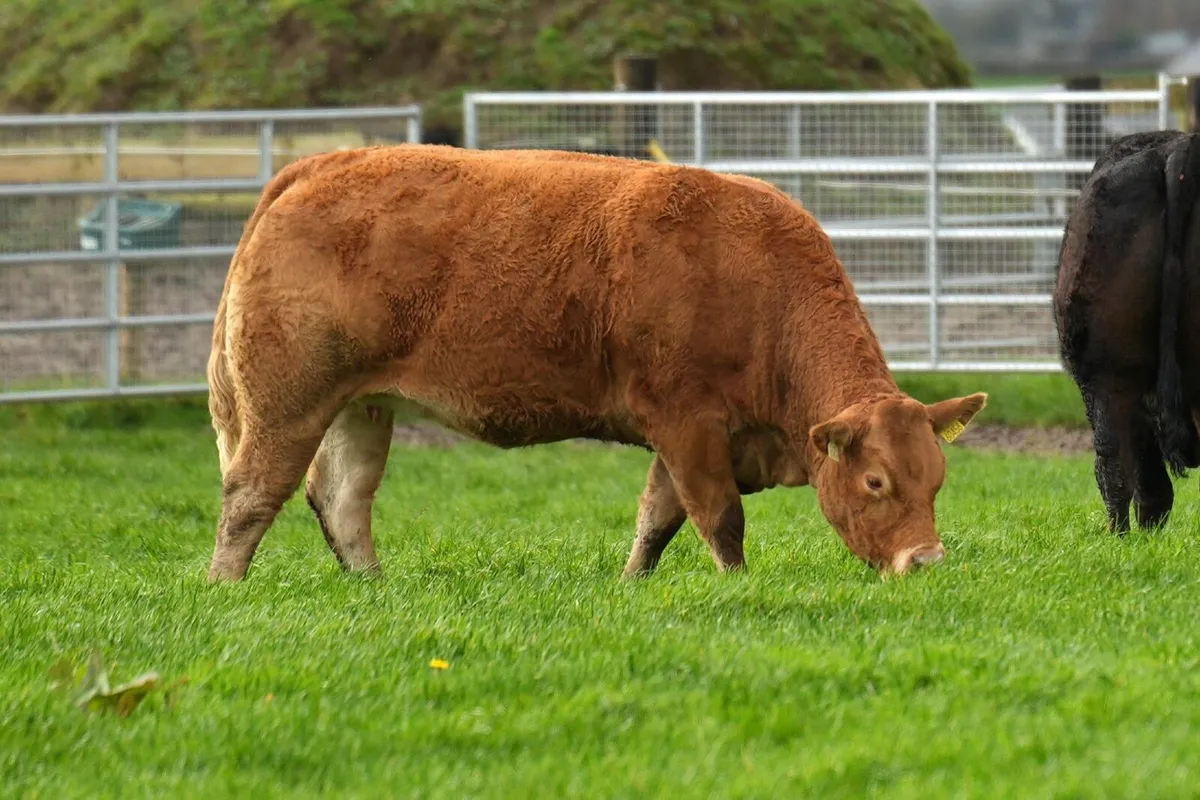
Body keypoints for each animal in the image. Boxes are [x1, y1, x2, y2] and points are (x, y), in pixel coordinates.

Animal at [204, 144, 988, 583]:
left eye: (937, 479)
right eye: (877, 481)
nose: (925, 562)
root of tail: (319, 166)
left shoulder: (691, 437)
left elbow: (657, 519)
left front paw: (631, 585)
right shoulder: (687, 423)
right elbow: (718, 517)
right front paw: (739, 588)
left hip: (361, 405)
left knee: (342, 498)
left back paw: (372, 586)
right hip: (289, 400)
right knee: (252, 492)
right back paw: (224, 585)